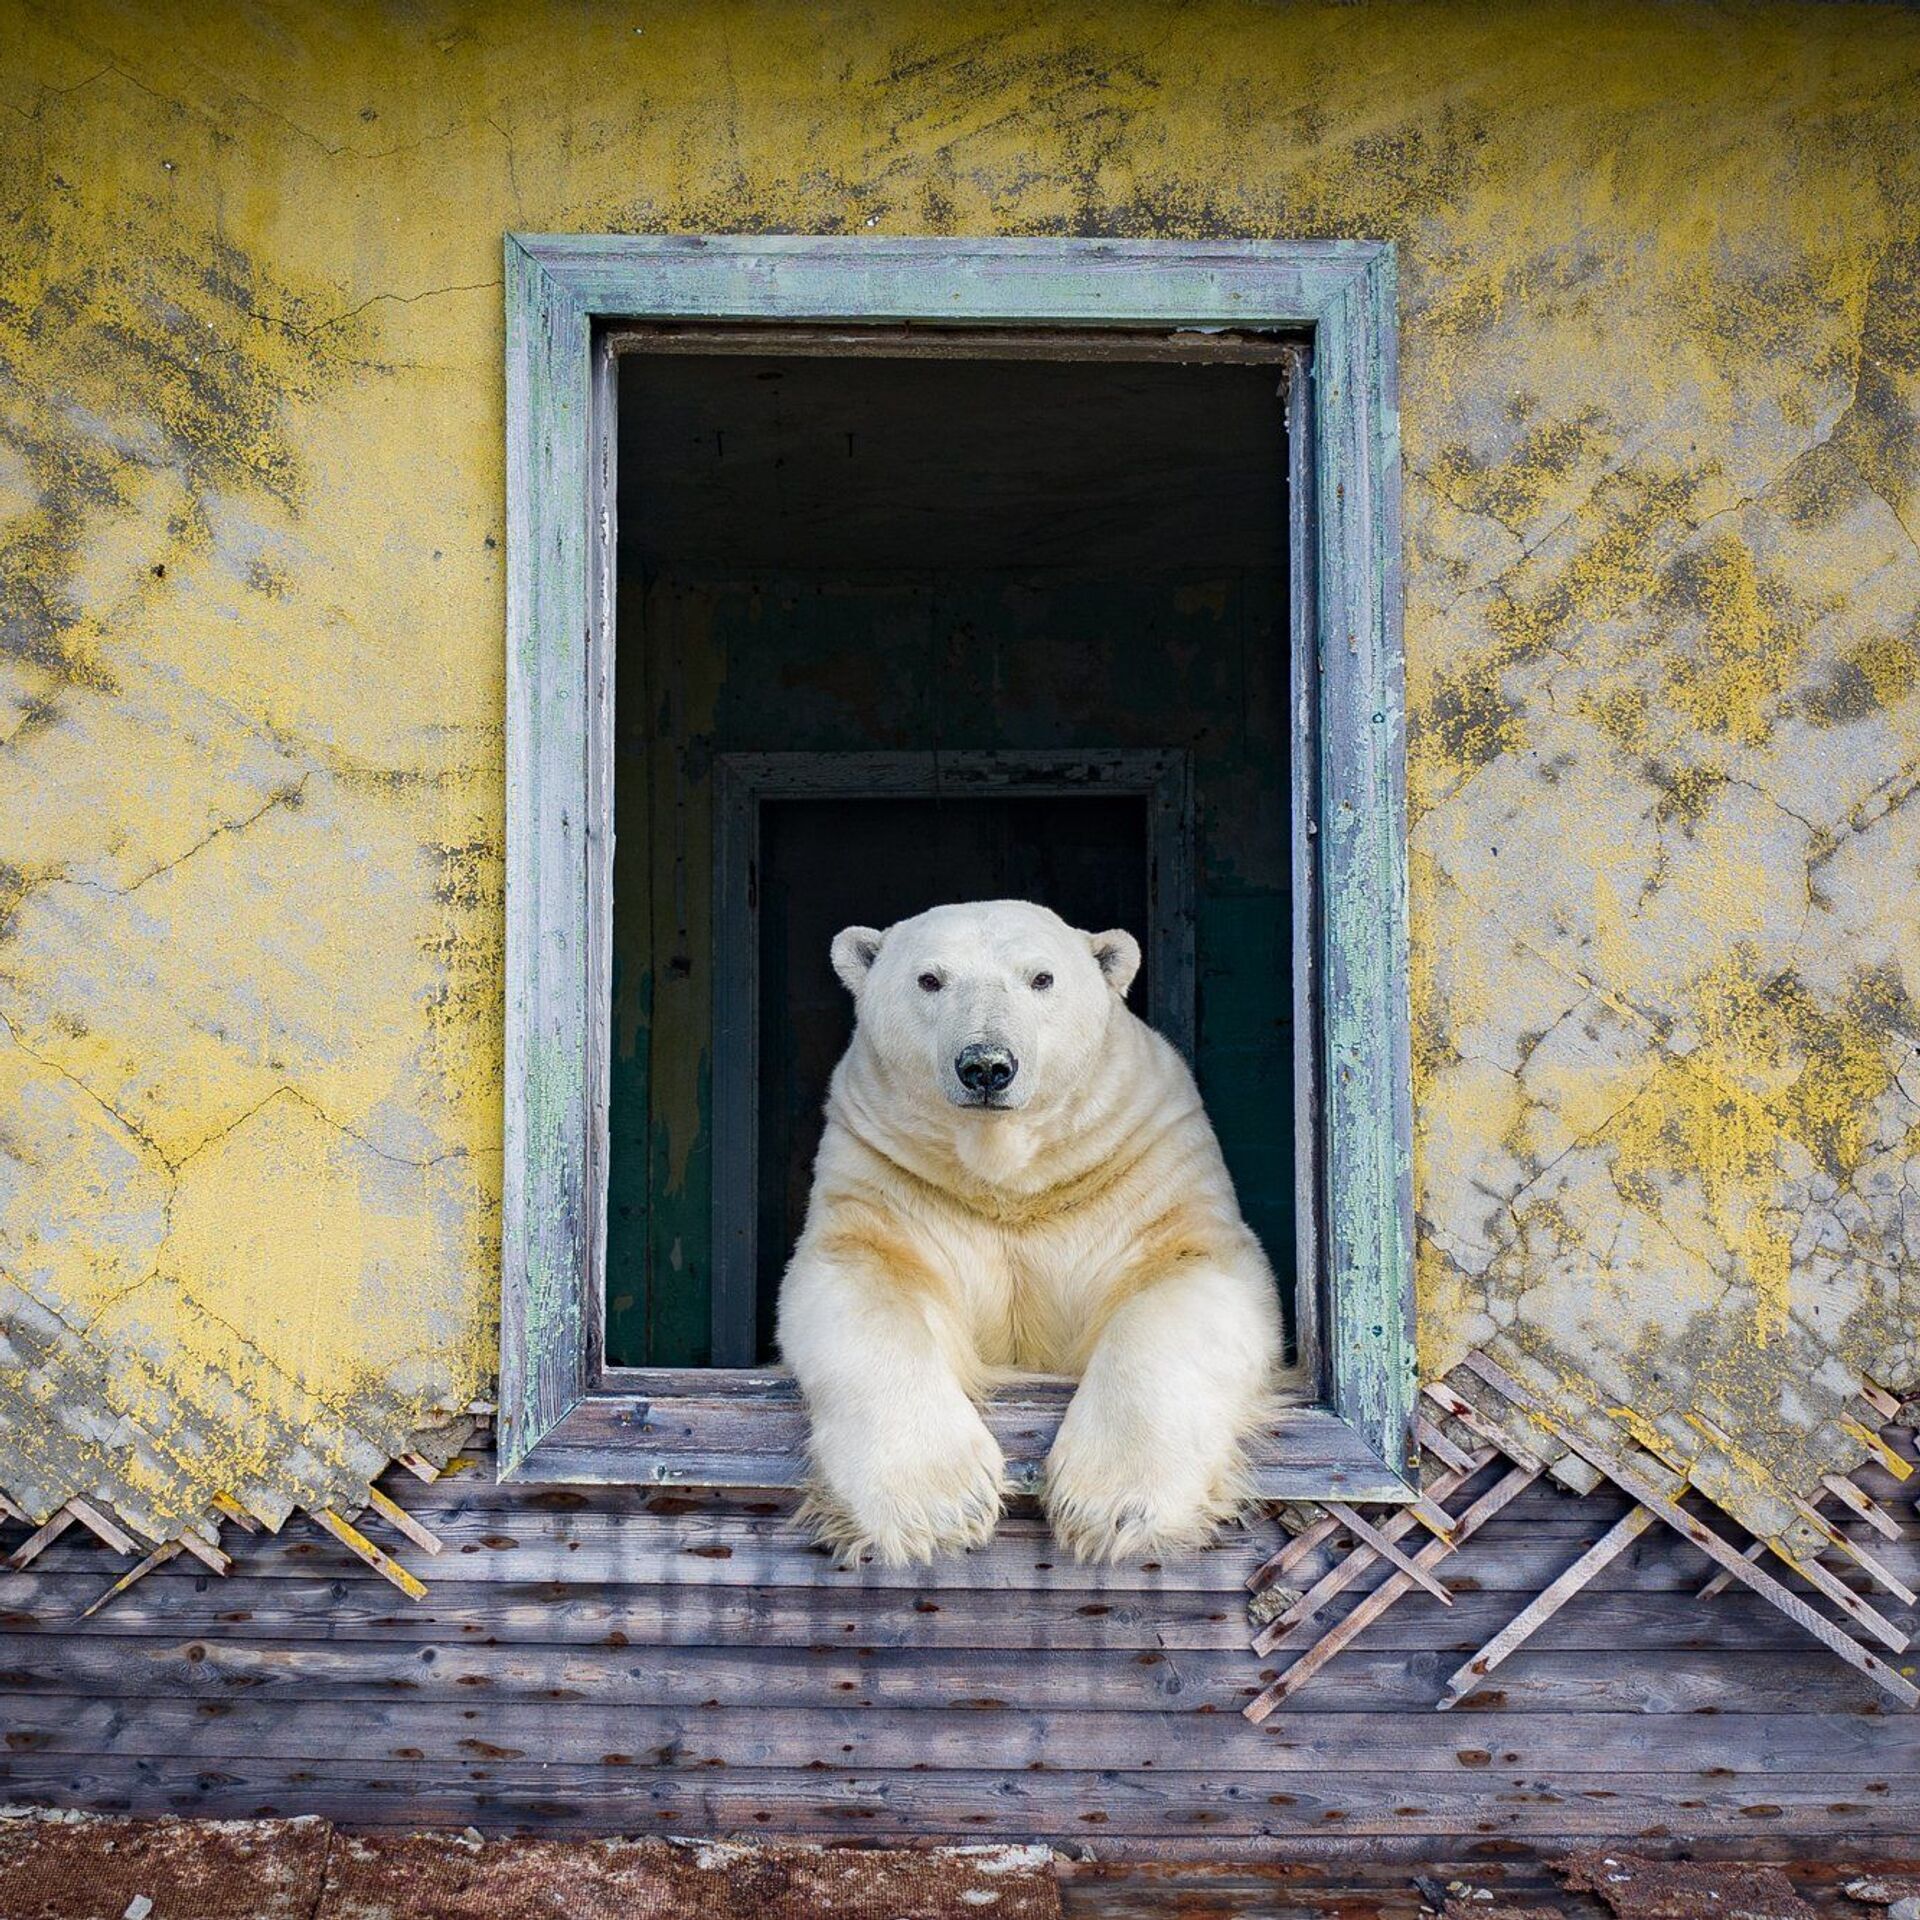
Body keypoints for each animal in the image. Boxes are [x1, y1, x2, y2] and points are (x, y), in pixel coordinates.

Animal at [771, 894, 1282, 1559]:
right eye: (930, 979)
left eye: (1042, 978)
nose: (987, 1065)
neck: (1010, 1182)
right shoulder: (887, 1177)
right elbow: (860, 1280)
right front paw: (939, 1506)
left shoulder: (1143, 1163)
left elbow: (1188, 1276)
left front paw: (1112, 1505)